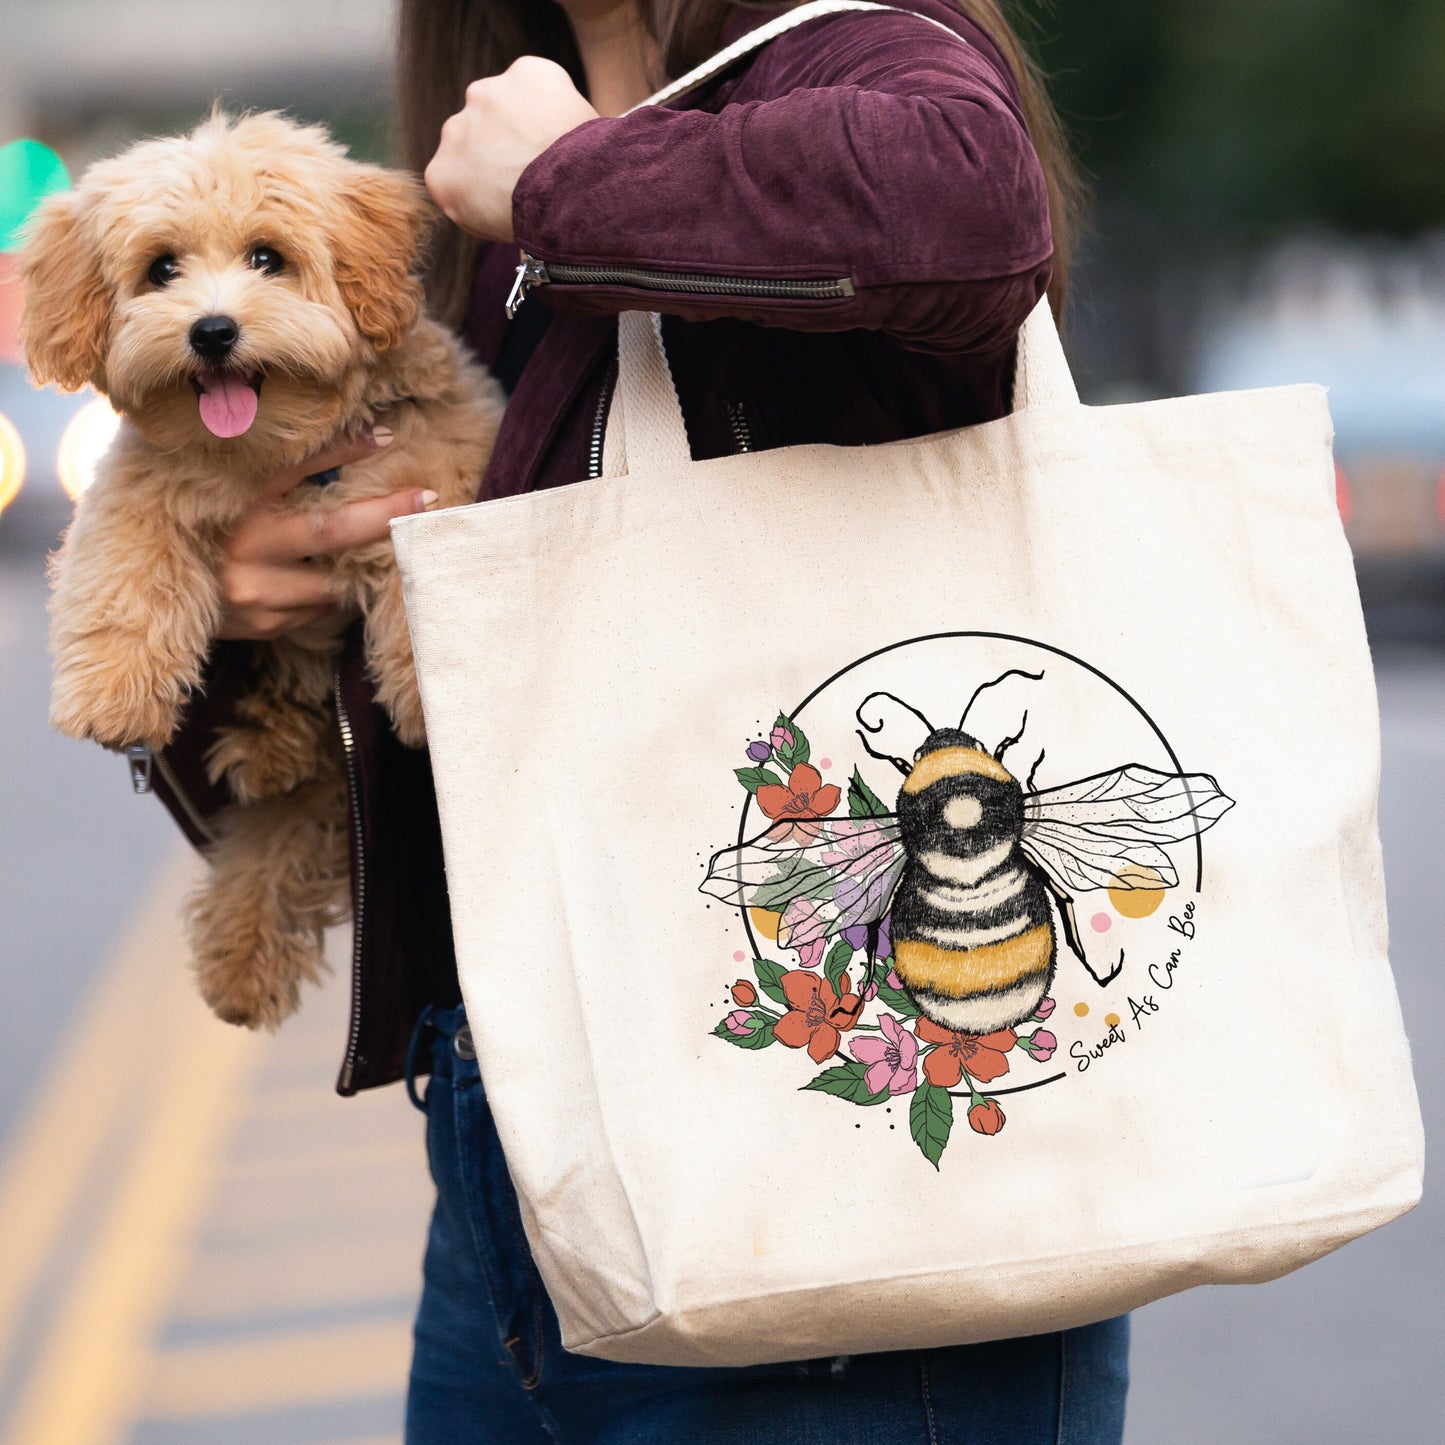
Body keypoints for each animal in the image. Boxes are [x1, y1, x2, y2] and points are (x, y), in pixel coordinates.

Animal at [18, 112, 508, 1034]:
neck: (273, 449)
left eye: (267, 257)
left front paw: (424, 690)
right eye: (161, 269)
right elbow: (123, 569)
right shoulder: (140, 486)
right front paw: (112, 694)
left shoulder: (435, 456)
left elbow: (419, 550)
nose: (212, 331)